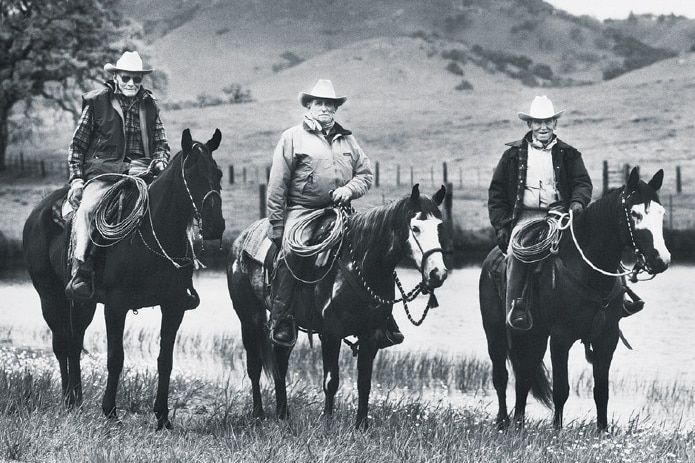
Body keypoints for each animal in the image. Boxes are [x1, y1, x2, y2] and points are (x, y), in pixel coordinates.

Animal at [23, 128, 224, 432]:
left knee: (74, 342)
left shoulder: (174, 306)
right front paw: (110, 412)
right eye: (190, 172)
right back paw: (68, 400)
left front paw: (162, 417)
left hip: (82, 303)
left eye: (218, 173)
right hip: (49, 296)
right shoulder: (115, 307)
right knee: (62, 344)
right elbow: (115, 358)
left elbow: (165, 360)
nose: (215, 225)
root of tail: (40, 210)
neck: (153, 235)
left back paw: (77, 401)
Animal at [226, 184, 448, 428]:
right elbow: (331, 381)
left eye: (440, 227)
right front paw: (328, 423)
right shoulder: (331, 333)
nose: (437, 273)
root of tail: (240, 240)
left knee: (280, 363)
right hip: (249, 317)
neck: (361, 265)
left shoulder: (371, 335)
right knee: (255, 366)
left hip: (285, 327)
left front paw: (361, 426)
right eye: (415, 228)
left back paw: (283, 414)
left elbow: (364, 382)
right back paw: (259, 413)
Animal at [482, 169, 672, 434]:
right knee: (502, 377)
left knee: (524, 377)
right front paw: (557, 432)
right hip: (497, 334)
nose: (661, 259)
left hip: (534, 336)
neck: (589, 271)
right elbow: (561, 390)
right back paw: (503, 423)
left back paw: (518, 425)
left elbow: (601, 391)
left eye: (661, 213)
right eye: (635, 214)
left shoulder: (607, 338)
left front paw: (603, 431)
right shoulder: (561, 338)